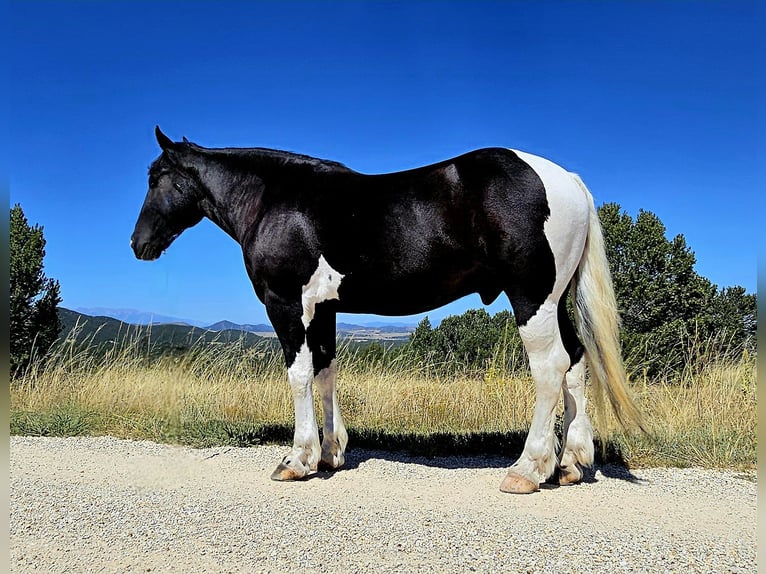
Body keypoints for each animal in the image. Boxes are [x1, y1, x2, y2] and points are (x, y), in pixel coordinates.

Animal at [130, 127, 640, 496]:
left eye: (155, 178)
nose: (138, 244)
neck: (274, 198)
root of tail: (567, 180)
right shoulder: (325, 309)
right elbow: (325, 372)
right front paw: (331, 454)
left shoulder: (286, 304)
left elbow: (298, 375)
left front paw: (297, 459)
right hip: (554, 301)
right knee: (575, 363)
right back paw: (571, 463)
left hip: (532, 300)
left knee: (550, 369)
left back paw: (528, 470)